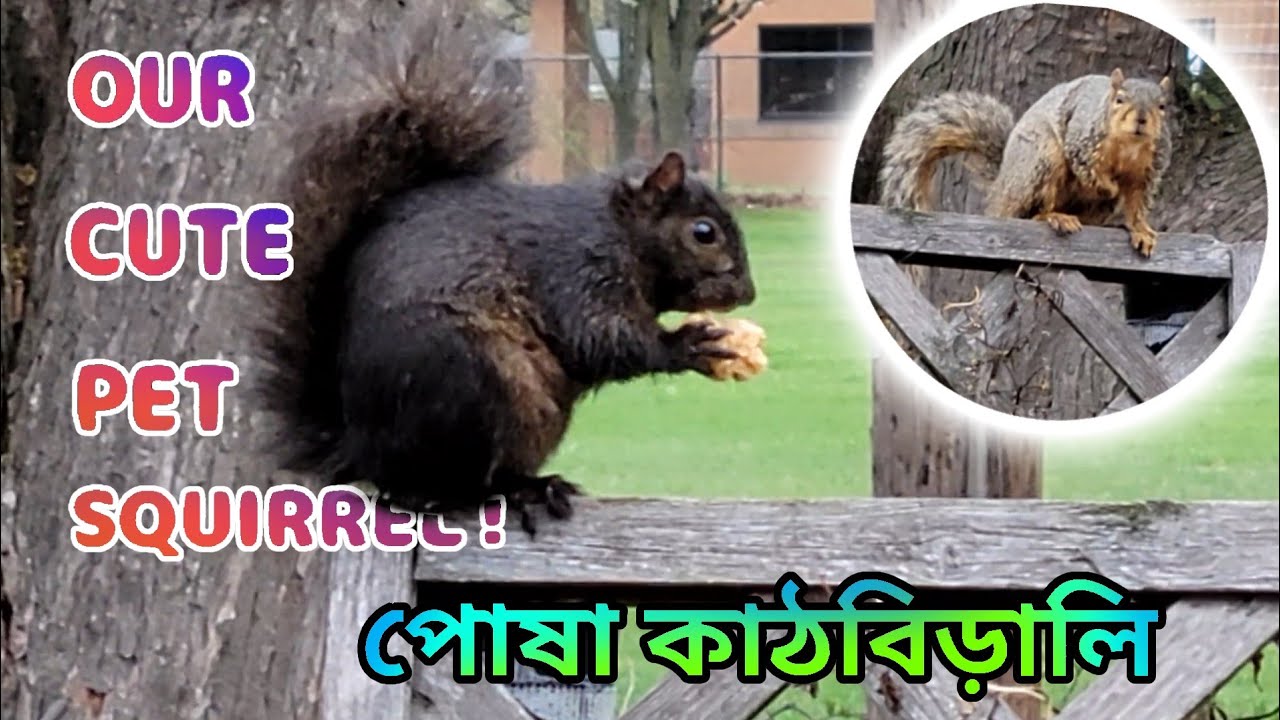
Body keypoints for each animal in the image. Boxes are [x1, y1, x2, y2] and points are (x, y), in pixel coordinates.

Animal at [258, 0, 755, 535]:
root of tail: (360, 447)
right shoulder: (578, 272)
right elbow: (602, 338)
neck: (619, 231)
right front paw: (688, 344)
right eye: (703, 232)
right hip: (470, 383)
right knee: (439, 486)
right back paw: (504, 492)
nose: (747, 293)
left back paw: (534, 484)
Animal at [878, 68, 1173, 257]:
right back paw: (1055, 216)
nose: (1141, 119)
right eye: (1119, 99)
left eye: (1162, 107)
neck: (1128, 145)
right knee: (1031, 212)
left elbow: (1136, 203)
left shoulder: (1147, 171)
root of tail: (1002, 183)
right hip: (1041, 159)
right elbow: (1087, 169)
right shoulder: (1082, 141)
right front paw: (1108, 186)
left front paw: (1141, 230)